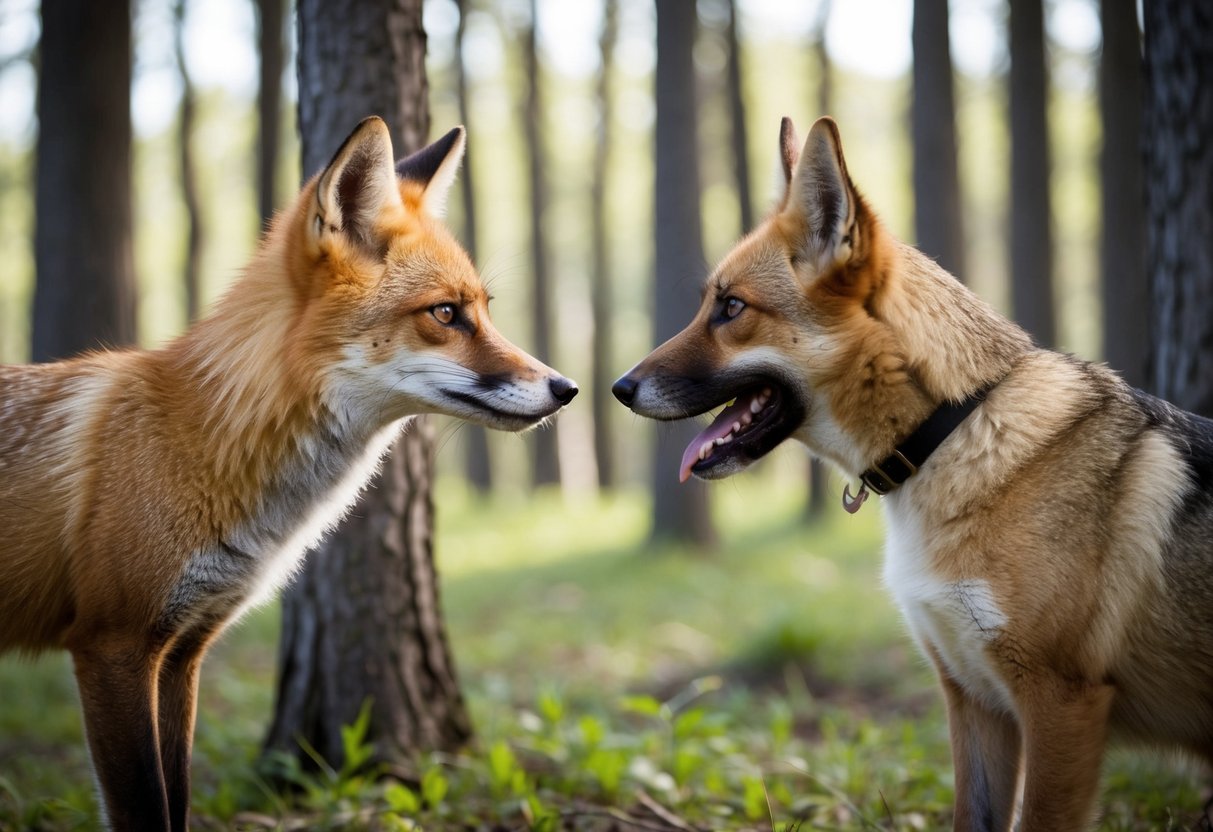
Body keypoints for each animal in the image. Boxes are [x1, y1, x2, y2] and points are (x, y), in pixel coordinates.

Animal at [0, 116, 577, 832]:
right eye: (446, 314)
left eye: (487, 309)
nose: (568, 388)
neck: (213, 440)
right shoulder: (114, 645)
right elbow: (146, 807)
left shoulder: (182, 652)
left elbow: (177, 799)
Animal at [613, 115, 1213, 830]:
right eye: (711, 302)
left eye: (730, 308)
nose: (618, 388)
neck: (954, 431)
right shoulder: (975, 700)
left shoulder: (1061, 705)